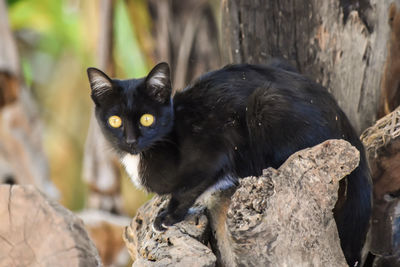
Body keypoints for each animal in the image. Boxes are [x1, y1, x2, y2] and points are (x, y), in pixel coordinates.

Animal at [87, 61, 372, 266]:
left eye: (147, 119)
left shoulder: (217, 146)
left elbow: (191, 186)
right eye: (115, 121)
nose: (131, 140)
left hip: (266, 105)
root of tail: (345, 126)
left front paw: (170, 215)